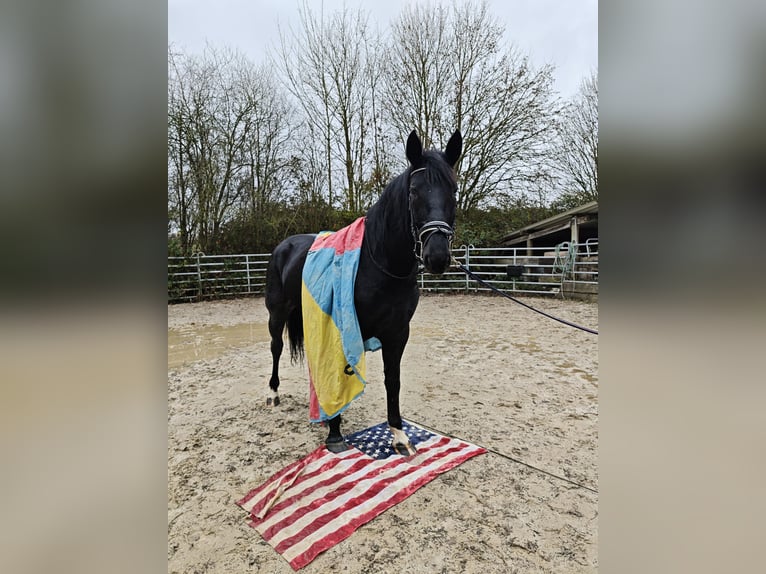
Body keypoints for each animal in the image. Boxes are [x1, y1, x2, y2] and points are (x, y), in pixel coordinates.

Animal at [265, 129, 462, 455]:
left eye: (453, 191)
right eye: (414, 192)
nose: (437, 256)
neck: (378, 264)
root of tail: (284, 246)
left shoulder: (397, 333)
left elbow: (392, 381)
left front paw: (398, 435)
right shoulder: (341, 329)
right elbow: (337, 373)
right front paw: (334, 434)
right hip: (277, 314)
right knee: (276, 348)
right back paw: (273, 393)